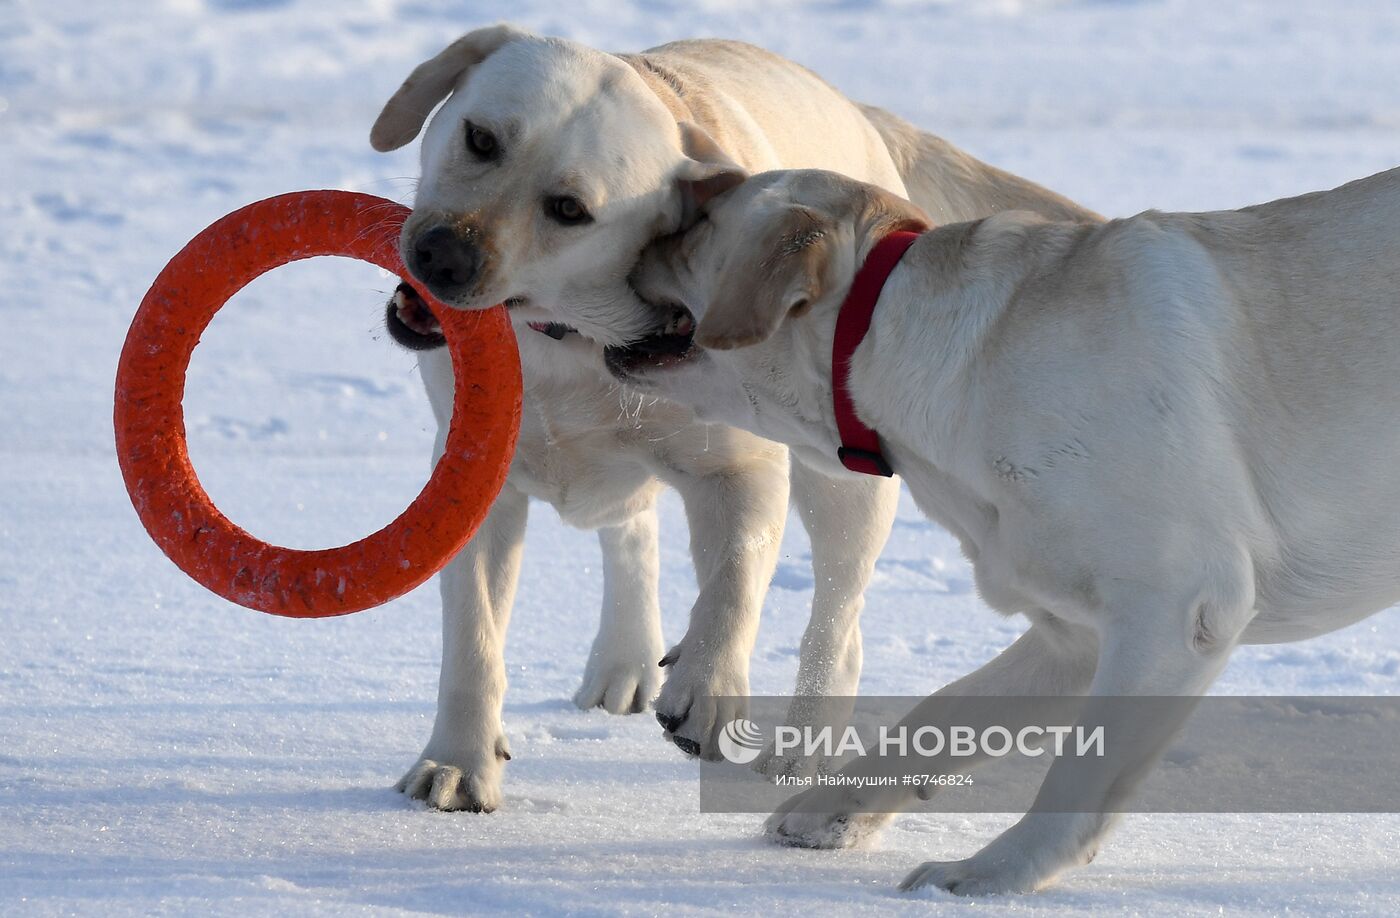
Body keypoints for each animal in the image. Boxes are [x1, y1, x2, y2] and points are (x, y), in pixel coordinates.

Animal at [372, 23, 1092, 811]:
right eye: (480, 139)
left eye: (569, 210)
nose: (443, 255)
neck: (572, 341)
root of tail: (857, 111)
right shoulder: (477, 478)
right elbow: (475, 637)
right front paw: (457, 764)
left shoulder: (739, 464)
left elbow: (735, 578)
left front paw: (708, 688)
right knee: (632, 534)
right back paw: (624, 662)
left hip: (846, 477)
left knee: (837, 618)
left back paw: (800, 752)